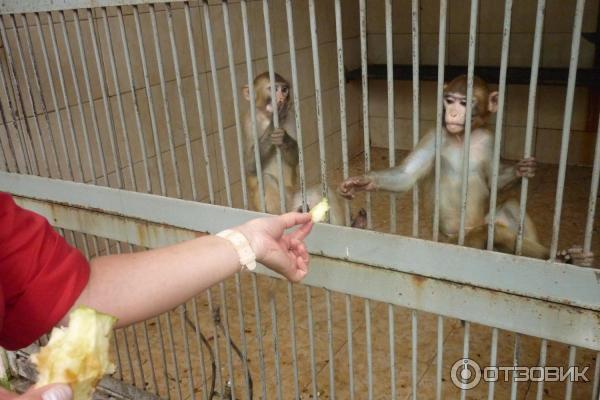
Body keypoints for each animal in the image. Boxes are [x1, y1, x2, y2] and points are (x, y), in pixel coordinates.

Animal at [243, 71, 366, 228]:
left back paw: (355, 224)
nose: (282, 97)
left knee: (321, 190)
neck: (266, 117)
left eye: (284, 89)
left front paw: (284, 138)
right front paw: (272, 129)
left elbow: (296, 157)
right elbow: (251, 166)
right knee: (265, 179)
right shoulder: (248, 122)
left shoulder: (290, 116)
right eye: (273, 89)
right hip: (284, 205)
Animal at [340, 74, 592, 266]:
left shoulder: (490, 138)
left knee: (510, 208)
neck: (463, 137)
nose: (452, 113)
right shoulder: (436, 134)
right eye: (449, 100)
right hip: (461, 241)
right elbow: (407, 175)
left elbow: (494, 180)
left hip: (484, 220)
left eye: (464, 103)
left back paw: (567, 258)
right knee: (493, 232)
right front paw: (363, 182)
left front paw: (522, 169)